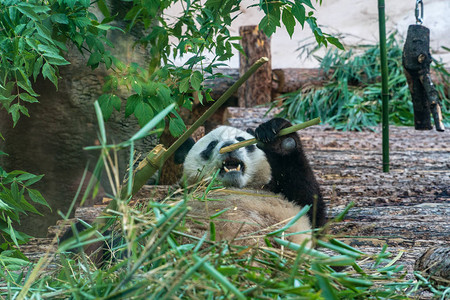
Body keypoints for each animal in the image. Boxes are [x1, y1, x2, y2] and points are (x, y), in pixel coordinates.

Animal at [174, 118, 326, 247]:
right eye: (212, 145)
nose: (229, 145)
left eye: (240, 139)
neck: (238, 186)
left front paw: (279, 139)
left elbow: (311, 207)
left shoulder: (280, 191)